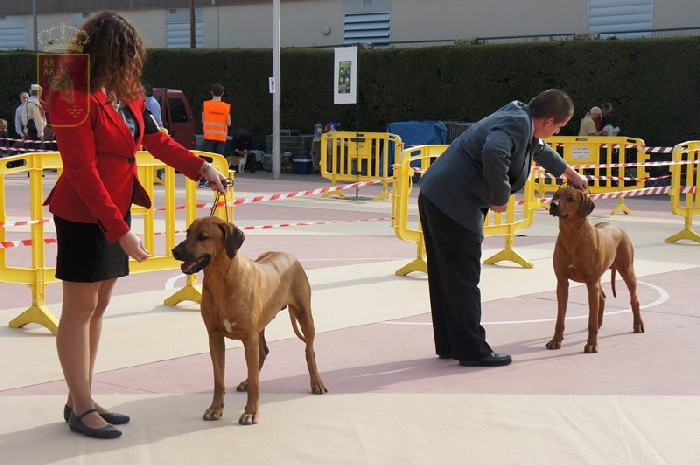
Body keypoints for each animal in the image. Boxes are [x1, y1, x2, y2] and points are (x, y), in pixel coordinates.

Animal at [172, 217, 327, 424]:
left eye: (202, 236)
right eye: (188, 233)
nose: (175, 251)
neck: (222, 281)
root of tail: (288, 255)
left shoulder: (249, 336)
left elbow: (255, 381)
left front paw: (251, 412)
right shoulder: (215, 337)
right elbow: (219, 379)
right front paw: (215, 409)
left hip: (304, 315)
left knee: (309, 351)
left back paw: (316, 382)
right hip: (260, 326)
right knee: (262, 353)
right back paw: (245, 381)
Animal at [547, 187, 644, 353]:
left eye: (571, 199)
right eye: (556, 196)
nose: (553, 205)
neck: (572, 237)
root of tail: (616, 225)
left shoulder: (591, 283)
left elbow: (590, 319)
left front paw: (592, 344)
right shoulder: (562, 282)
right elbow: (560, 317)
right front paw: (556, 340)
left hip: (627, 270)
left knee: (634, 300)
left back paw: (638, 324)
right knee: (602, 297)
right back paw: (600, 323)